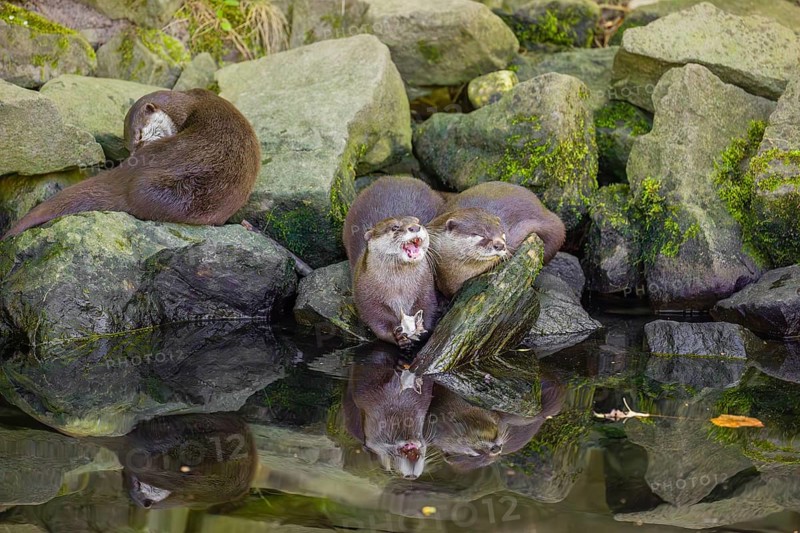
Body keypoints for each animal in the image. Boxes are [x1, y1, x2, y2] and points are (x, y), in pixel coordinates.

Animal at [343, 176, 443, 348]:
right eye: (395, 227)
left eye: (418, 221)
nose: (415, 227)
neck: (399, 290)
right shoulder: (365, 294)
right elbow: (376, 319)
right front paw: (397, 335)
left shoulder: (426, 287)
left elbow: (429, 307)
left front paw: (421, 328)